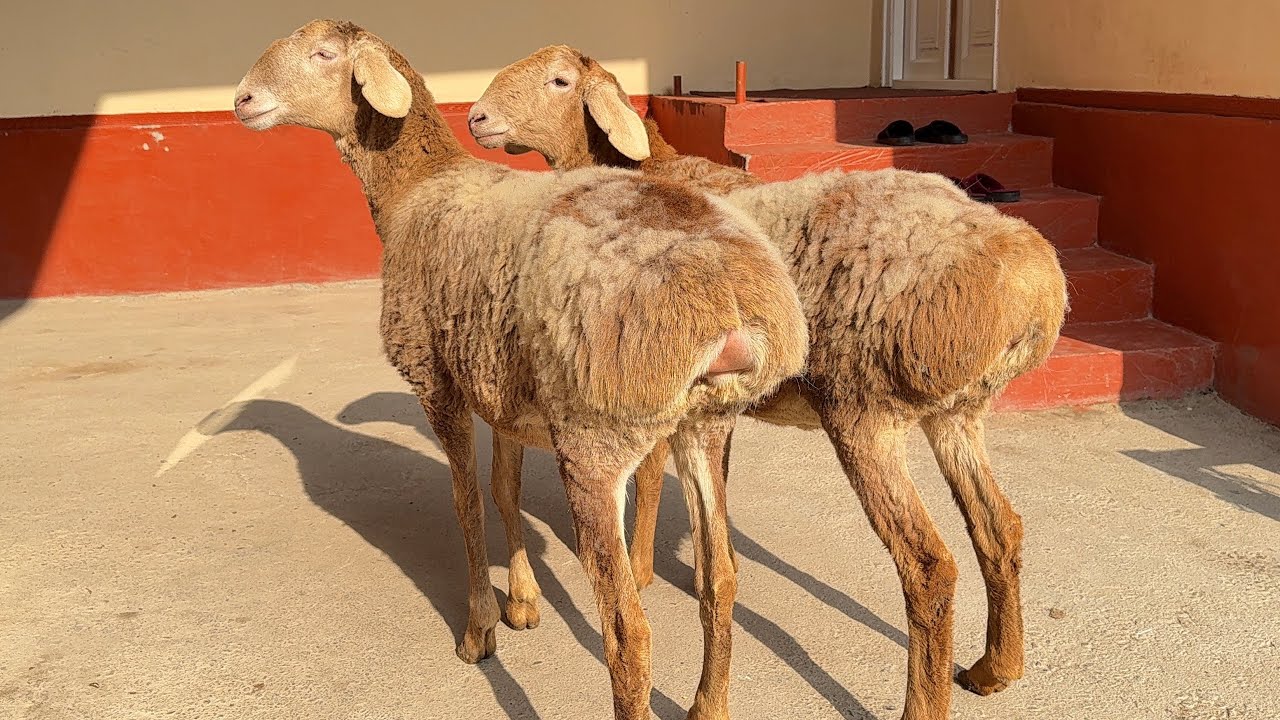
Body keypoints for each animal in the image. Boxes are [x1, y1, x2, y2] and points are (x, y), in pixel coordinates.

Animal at [234, 22, 808, 720]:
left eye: (323, 54)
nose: (242, 99)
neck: (414, 188)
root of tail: (734, 308)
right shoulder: (498, 386)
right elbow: (503, 490)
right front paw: (524, 600)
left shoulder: (437, 382)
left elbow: (466, 502)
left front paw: (479, 630)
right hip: (705, 424)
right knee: (721, 578)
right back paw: (708, 704)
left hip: (597, 440)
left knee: (629, 631)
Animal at [467, 45, 1070, 720]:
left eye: (560, 81)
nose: (477, 117)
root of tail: (1032, 287)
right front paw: (705, 569)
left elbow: (650, 476)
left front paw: (644, 568)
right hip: (956, 412)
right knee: (999, 526)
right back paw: (996, 668)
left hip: (865, 411)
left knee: (929, 565)